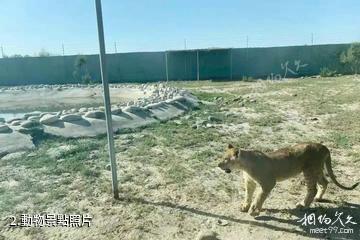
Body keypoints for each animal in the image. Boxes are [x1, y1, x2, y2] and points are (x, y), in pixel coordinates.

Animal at [218, 143, 358, 217]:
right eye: (222, 157)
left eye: (226, 159)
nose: (218, 165)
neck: (245, 166)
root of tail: (323, 146)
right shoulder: (250, 182)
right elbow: (248, 195)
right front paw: (245, 206)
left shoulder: (268, 183)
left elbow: (259, 197)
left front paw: (254, 210)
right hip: (316, 170)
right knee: (324, 182)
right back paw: (318, 198)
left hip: (309, 170)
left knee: (312, 189)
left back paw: (303, 205)